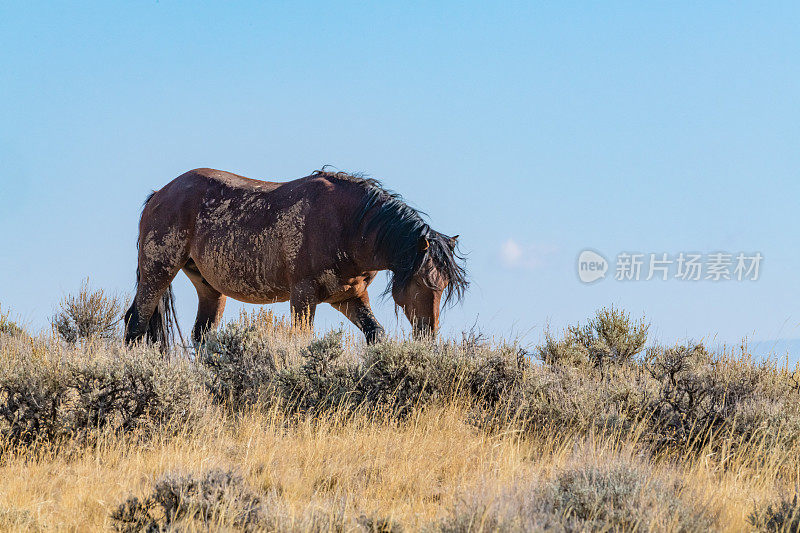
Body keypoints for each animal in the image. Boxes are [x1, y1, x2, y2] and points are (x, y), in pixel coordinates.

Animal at [122, 168, 466, 348]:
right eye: (422, 282)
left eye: (444, 286)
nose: (428, 335)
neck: (349, 225)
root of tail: (160, 193)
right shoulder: (303, 295)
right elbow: (302, 339)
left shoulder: (349, 297)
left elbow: (375, 334)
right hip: (158, 271)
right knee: (135, 324)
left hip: (209, 287)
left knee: (201, 336)